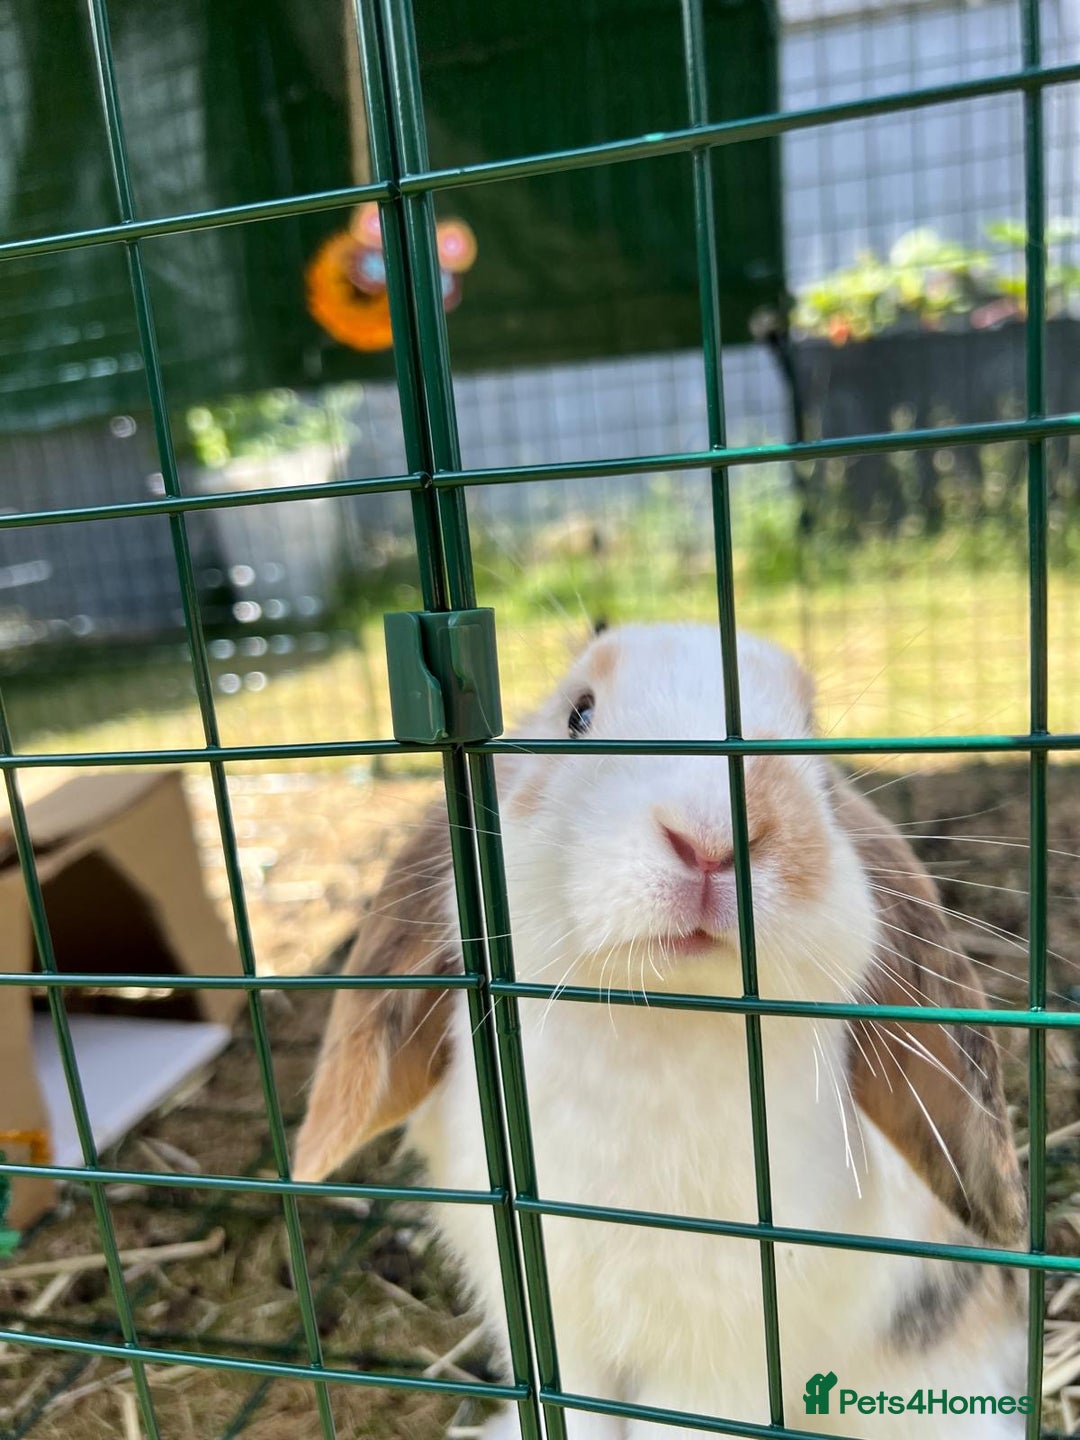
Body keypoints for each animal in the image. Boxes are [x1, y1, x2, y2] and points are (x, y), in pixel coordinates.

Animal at [296, 623, 1028, 1439]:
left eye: (815, 749)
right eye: (578, 714)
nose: (713, 836)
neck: (658, 1024)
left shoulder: (719, 1364)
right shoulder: (559, 1332)